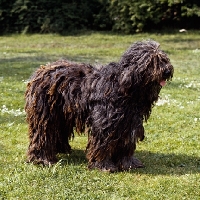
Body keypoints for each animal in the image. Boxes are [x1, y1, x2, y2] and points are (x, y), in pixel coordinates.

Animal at [25, 40, 173, 172]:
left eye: (163, 59)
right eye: (152, 61)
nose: (167, 71)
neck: (124, 86)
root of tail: (40, 71)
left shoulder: (129, 122)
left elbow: (126, 145)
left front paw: (128, 163)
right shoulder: (105, 122)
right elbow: (102, 144)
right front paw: (104, 166)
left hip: (62, 114)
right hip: (46, 114)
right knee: (42, 133)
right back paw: (42, 159)